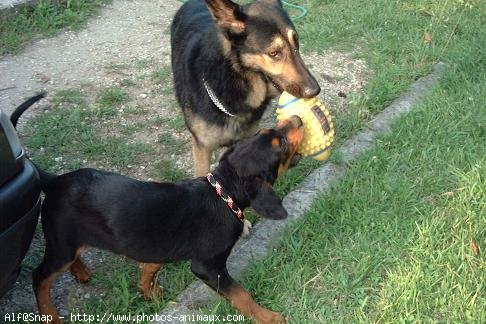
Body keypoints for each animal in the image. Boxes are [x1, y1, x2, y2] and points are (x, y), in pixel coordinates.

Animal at [30, 115, 302, 322]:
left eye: (269, 131)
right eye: (282, 144)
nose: (298, 119)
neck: (223, 192)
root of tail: (54, 181)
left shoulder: (157, 246)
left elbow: (151, 266)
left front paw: (149, 292)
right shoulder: (208, 266)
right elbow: (240, 294)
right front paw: (269, 317)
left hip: (70, 241)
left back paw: (81, 271)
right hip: (61, 244)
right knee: (39, 277)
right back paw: (50, 315)